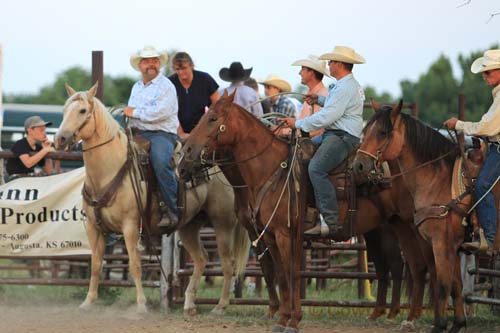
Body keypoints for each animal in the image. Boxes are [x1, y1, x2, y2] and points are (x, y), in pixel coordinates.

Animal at [54, 83, 250, 314]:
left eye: (82, 111)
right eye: (64, 110)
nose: (60, 139)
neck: (110, 171)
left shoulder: (130, 226)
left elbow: (135, 265)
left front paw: (141, 305)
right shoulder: (93, 227)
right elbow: (95, 265)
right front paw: (88, 302)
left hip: (223, 223)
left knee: (227, 264)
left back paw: (220, 306)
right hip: (189, 225)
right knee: (201, 259)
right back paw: (189, 304)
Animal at [179, 91, 430, 332]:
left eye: (212, 119)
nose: (185, 156)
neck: (272, 170)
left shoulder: (285, 235)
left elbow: (292, 273)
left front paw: (293, 320)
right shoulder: (270, 235)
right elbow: (280, 274)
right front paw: (282, 318)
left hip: (412, 226)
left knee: (419, 265)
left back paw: (411, 318)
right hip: (388, 227)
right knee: (399, 266)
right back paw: (390, 314)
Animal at [352, 102, 468, 330]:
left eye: (382, 132)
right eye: (365, 130)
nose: (358, 165)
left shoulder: (441, 241)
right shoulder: (450, 242)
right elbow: (454, 282)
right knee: (409, 267)